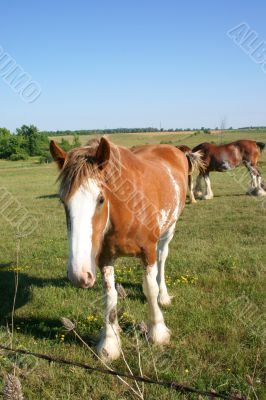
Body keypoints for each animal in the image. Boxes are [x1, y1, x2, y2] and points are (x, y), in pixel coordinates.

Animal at [50, 137, 204, 360]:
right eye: (63, 201)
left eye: (101, 199)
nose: (79, 275)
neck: (128, 209)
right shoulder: (105, 258)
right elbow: (109, 296)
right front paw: (110, 341)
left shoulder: (148, 252)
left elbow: (150, 288)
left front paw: (157, 332)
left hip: (169, 230)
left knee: (162, 258)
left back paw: (164, 296)